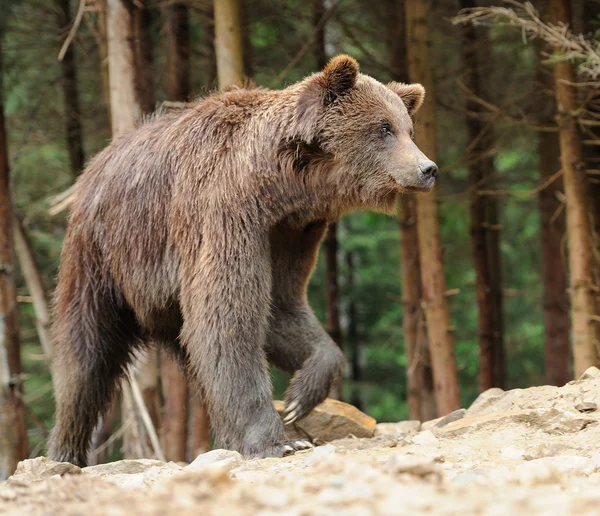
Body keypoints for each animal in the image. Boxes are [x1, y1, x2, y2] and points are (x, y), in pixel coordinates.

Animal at [47, 54, 436, 466]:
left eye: (408, 128)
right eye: (384, 128)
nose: (428, 169)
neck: (281, 185)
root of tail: (95, 164)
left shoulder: (290, 232)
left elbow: (280, 306)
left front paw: (300, 396)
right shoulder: (224, 212)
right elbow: (229, 316)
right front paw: (277, 441)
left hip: (162, 297)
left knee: (194, 354)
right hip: (103, 254)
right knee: (86, 353)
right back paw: (64, 451)